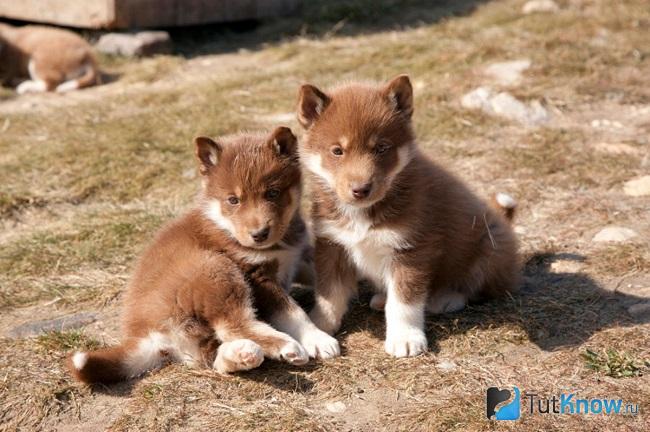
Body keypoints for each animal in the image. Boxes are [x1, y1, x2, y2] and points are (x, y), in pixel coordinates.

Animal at [67, 126, 336, 384]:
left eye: (272, 193)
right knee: (234, 326)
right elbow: (292, 312)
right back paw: (286, 346)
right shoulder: (257, 276)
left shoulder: (298, 256)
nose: (259, 234)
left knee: (215, 355)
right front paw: (318, 339)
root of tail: (148, 335)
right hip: (214, 269)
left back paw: (242, 354)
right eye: (233, 200)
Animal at [296, 75, 520, 358]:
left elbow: (404, 302)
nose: (361, 189)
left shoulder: (412, 248)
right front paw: (319, 327)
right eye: (337, 151)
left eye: (381, 148)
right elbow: (329, 293)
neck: (364, 214)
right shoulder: (332, 244)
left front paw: (405, 337)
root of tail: (503, 220)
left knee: (480, 287)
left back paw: (446, 298)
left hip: (491, 246)